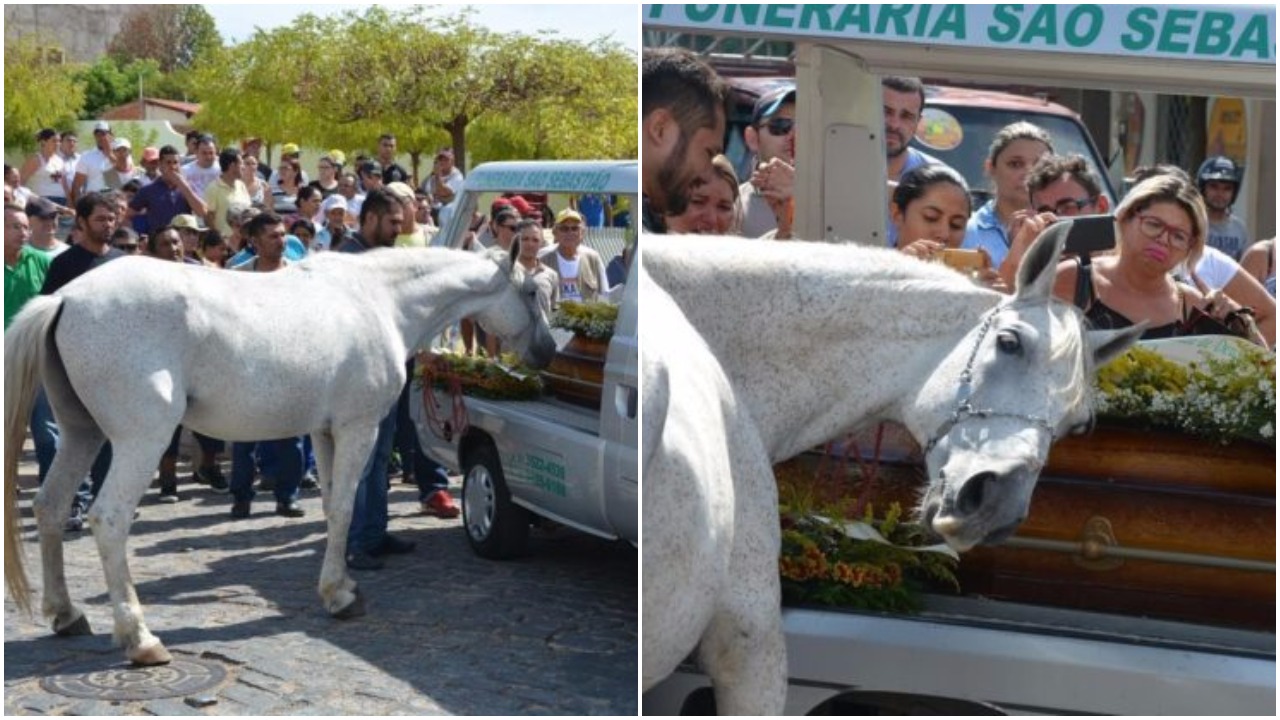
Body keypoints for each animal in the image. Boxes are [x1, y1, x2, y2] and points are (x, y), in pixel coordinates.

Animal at [6, 245, 555, 661]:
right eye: (531, 291)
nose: (548, 351)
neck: (378, 299)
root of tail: (65, 298)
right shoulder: (357, 429)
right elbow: (345, 507)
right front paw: (339, 597)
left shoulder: (324, 433)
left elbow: (333, 506)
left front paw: (340, 586)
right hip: (140, 442)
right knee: (109, 519)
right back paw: (140, 638)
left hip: (82, 434)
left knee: (51, 507)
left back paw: (66, 614)